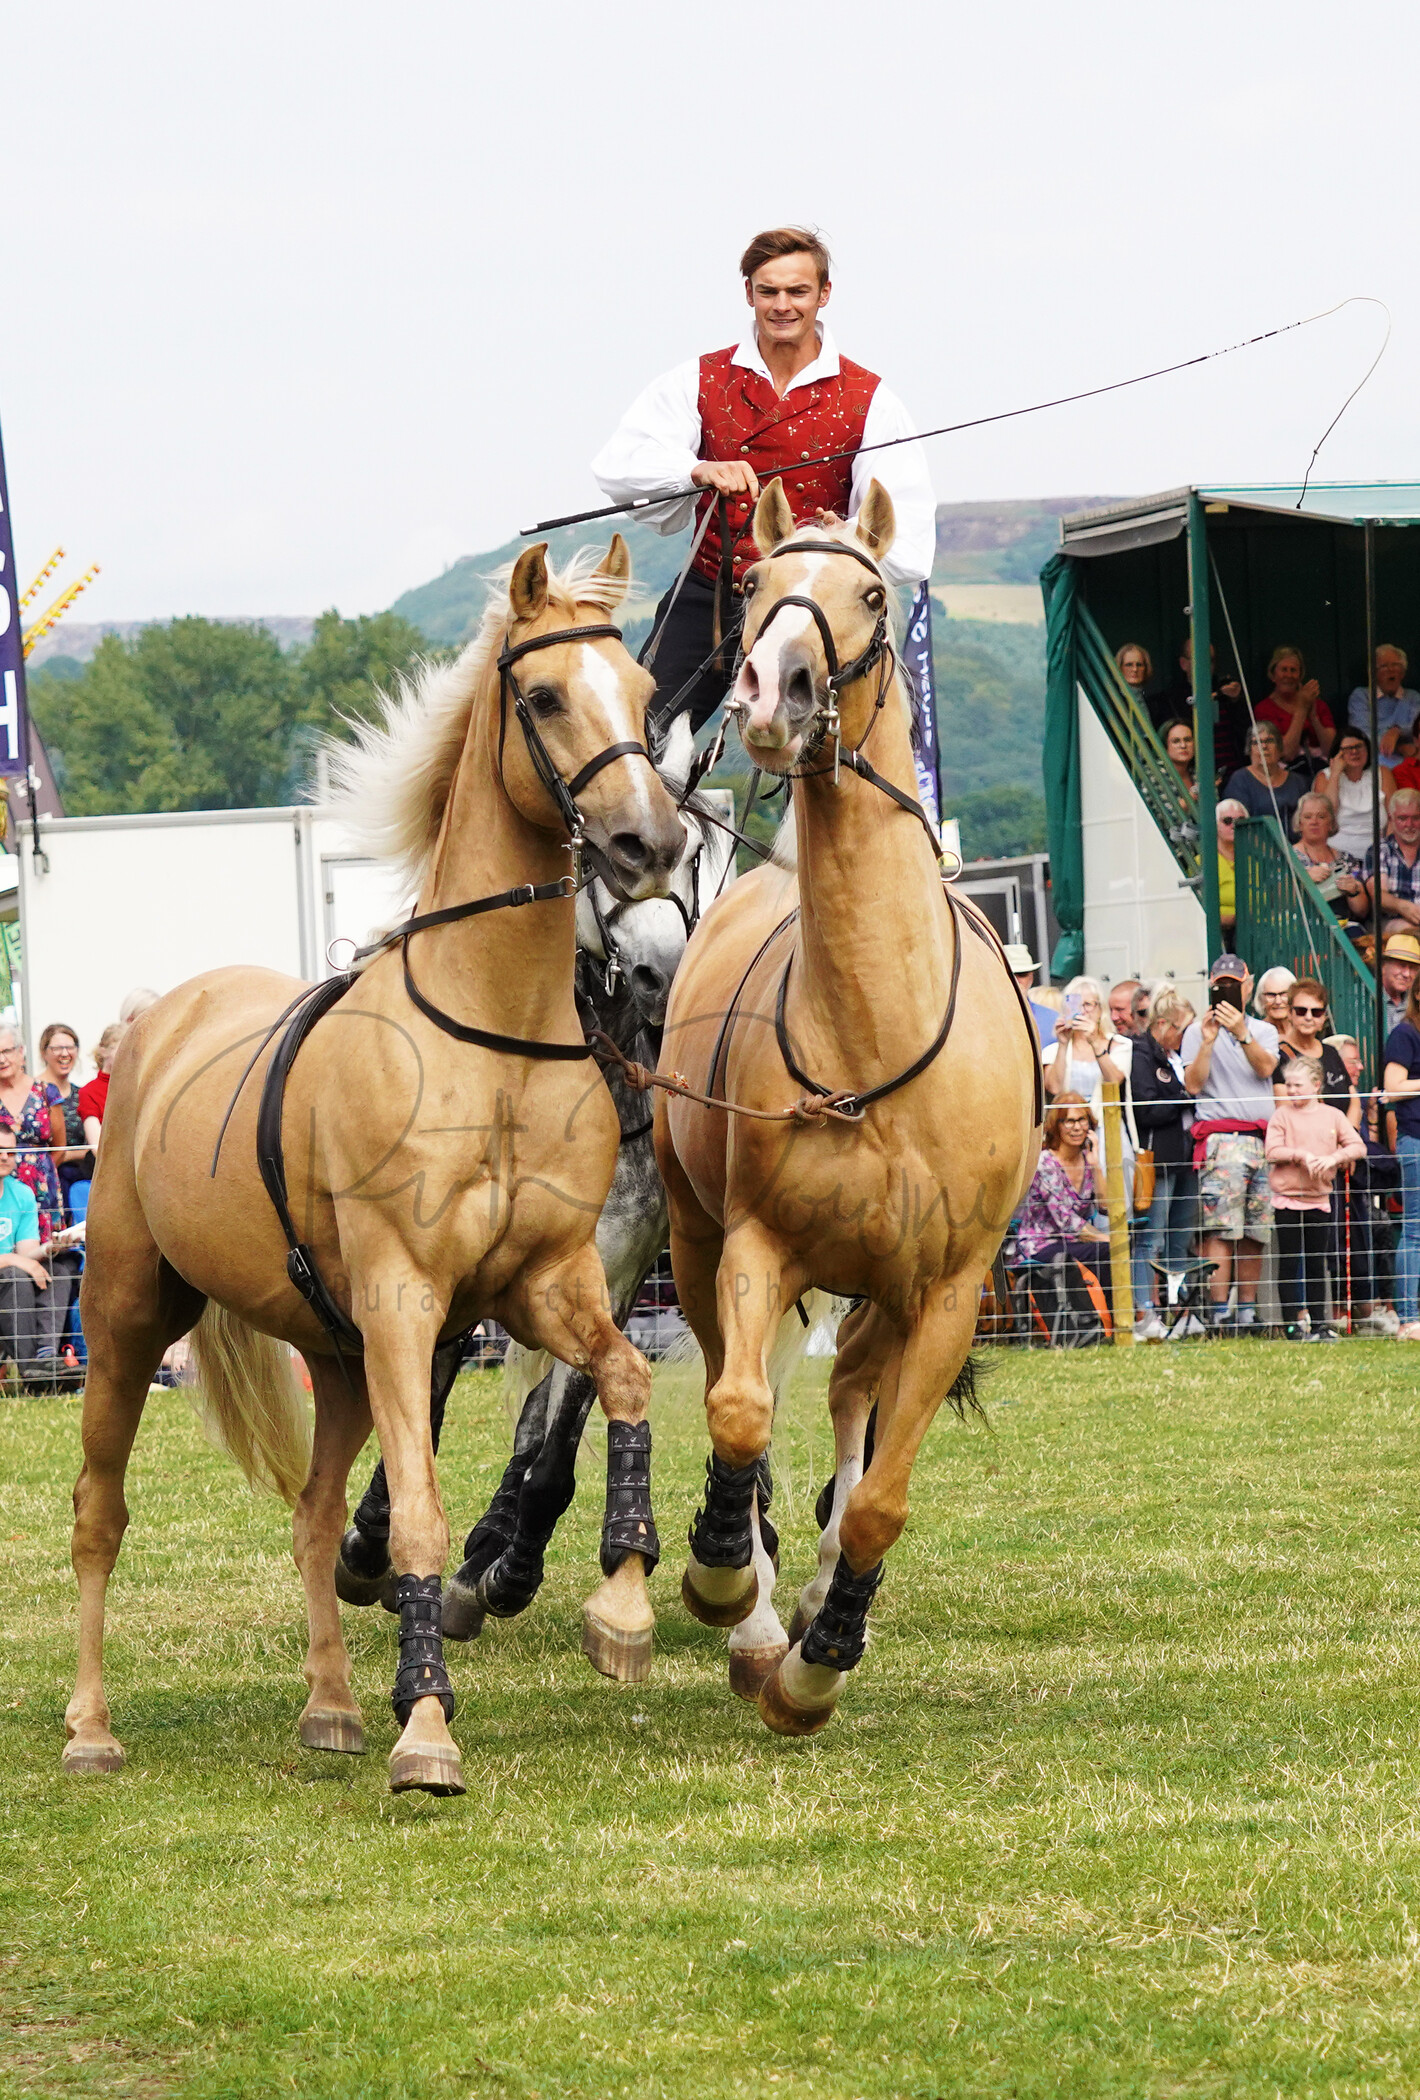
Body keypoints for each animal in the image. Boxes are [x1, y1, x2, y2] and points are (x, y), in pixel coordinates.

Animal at [63, 537, 684, 1789]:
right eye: (547, 696)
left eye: (644, 695)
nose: (651, 844)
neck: (491, 1039)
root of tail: (161, 1018)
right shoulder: (409, 1305)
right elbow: (419, 1519)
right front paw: (427, 1728)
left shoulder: (548, 1285)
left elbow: (620, 1386)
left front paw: (621, 1610)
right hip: (127, 1318)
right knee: (99, 1513)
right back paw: (92, 1727)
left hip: (338, 1359)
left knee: (311, 1516)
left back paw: (332, 1707)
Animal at [655, 480, 1041, 1738]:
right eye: (757, 582)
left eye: (869, 593)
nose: (771, 693)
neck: (878, 1025)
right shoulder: (754, 1244)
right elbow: (736, 1414)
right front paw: (730, 1586)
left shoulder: (948, 1293)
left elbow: (878, 1497)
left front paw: (823, 1657)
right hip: (696, 1241)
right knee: (755, 1392)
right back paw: (754, 1604)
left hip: (886, 1290)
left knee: (850, 1401)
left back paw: (822, 1598)